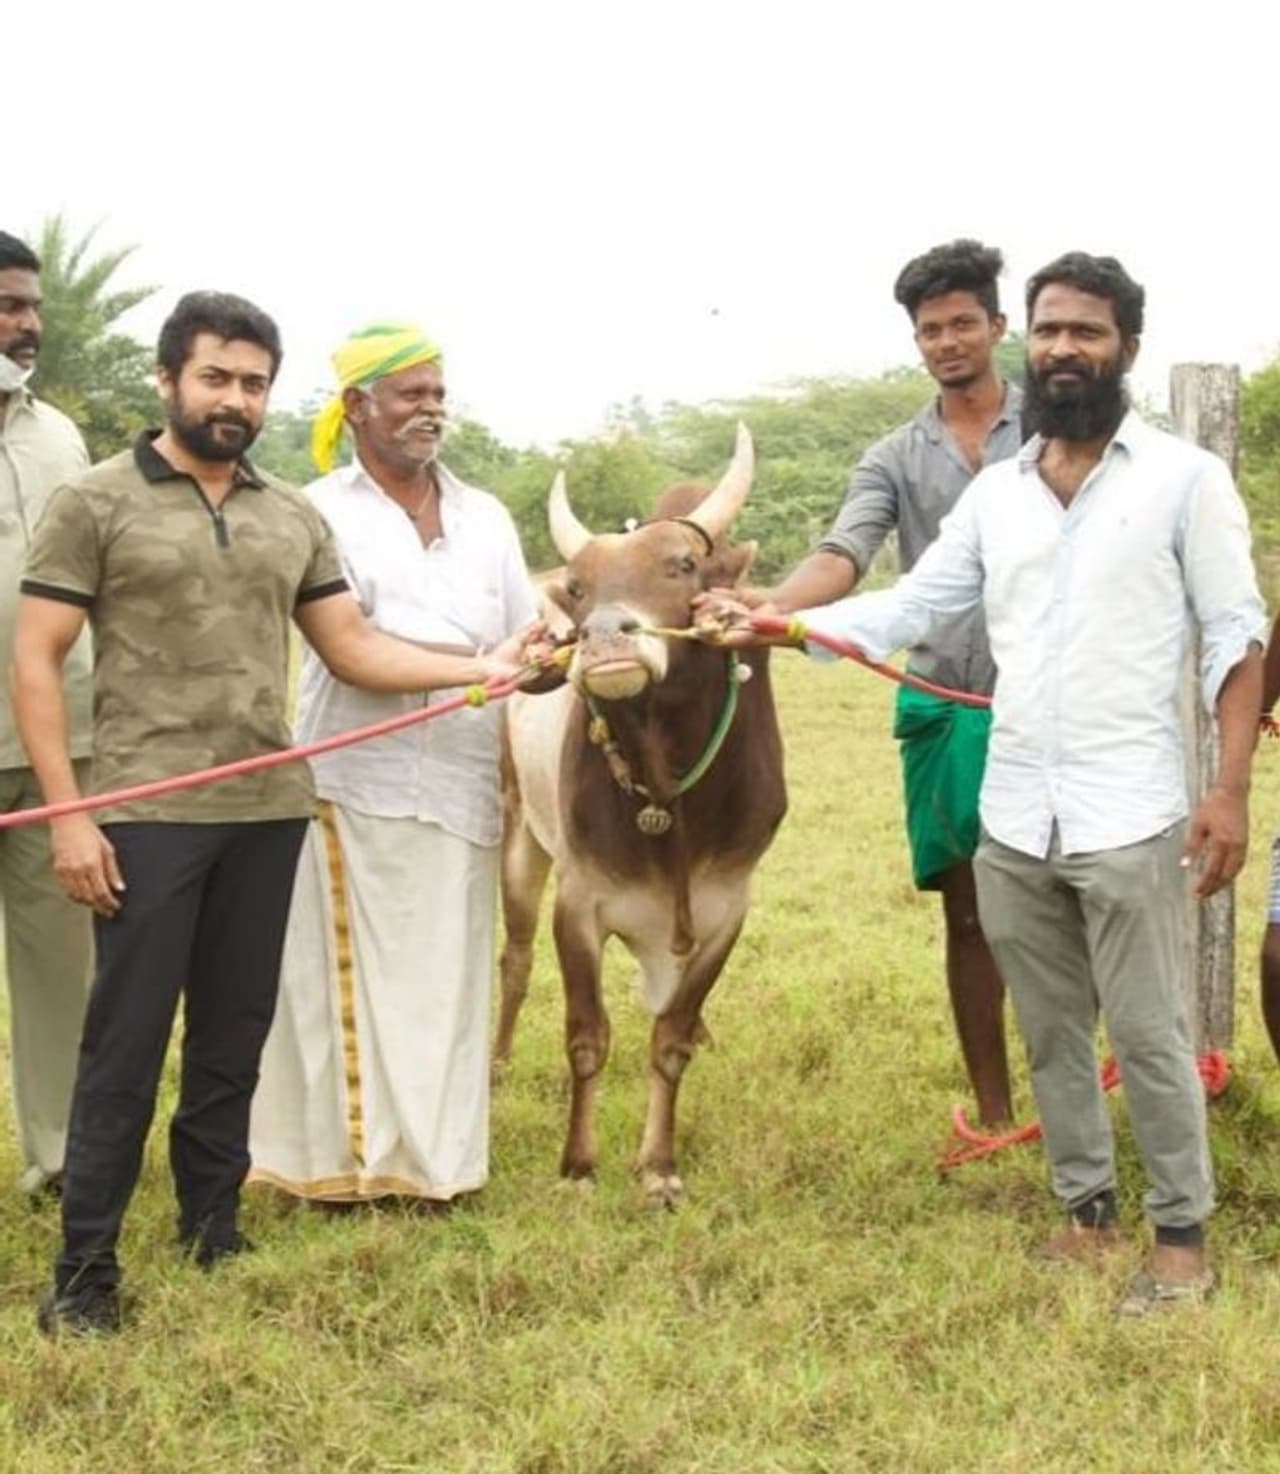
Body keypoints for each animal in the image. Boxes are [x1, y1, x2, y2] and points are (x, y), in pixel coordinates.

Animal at [495, 425, 786, 1205]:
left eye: (682, 565)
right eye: (579, 586)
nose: (603, 639)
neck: (668, 786)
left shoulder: (725, 909)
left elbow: (671, 1042)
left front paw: (658, 1166)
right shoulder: (580, 904)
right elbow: (587, 1039)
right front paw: (577, 1167)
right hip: (519, 842)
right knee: (513, 962)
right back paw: (495, 1063)